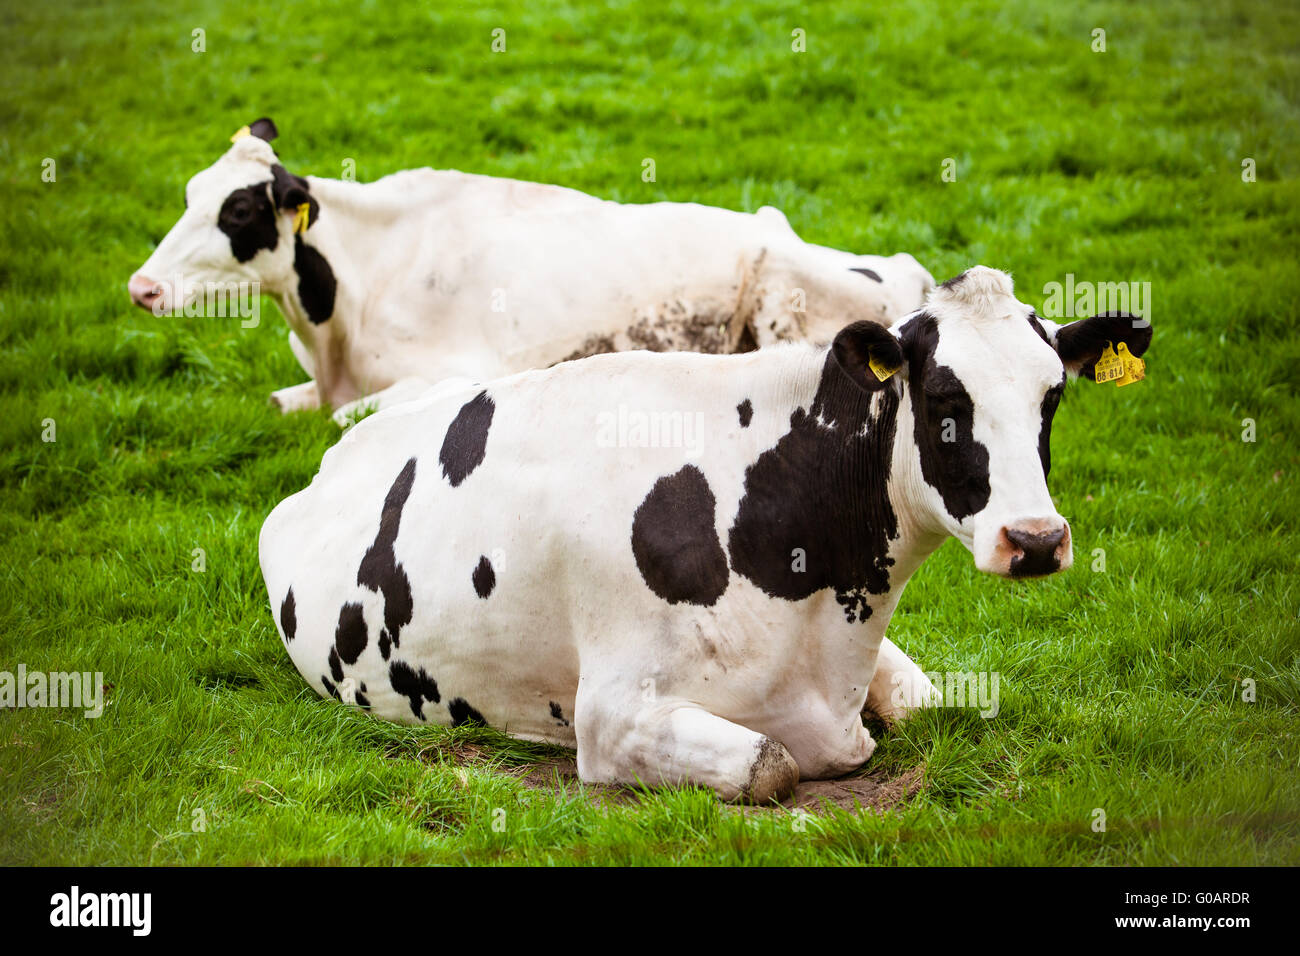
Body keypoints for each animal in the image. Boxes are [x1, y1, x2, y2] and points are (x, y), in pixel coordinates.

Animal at [127, 118, 933, 421]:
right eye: (190, 193)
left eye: (237, 211)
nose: (142, 287)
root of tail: (907, 268)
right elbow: (279, 403)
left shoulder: (457, 373)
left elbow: (346, 419)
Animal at [258, 267, 1152, 802]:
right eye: (942, 399)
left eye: (1052, 397)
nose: (1034, 539)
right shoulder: (612, 717)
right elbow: (770, 763)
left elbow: (925, 703)